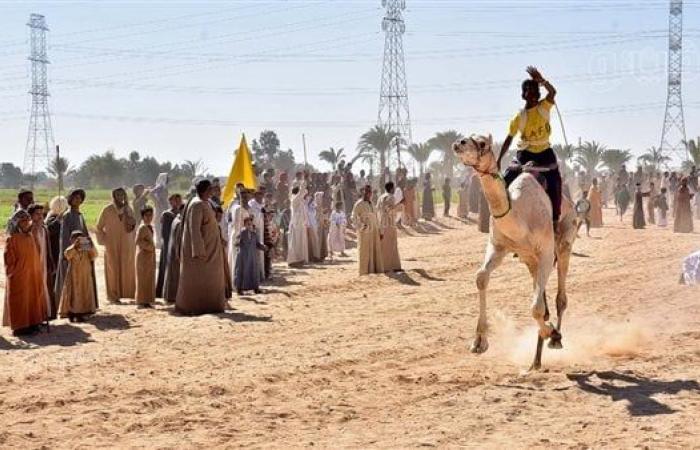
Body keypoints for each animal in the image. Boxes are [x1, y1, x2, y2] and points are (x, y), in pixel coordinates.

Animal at [452, 134, 576, 370]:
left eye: (482, 143)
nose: (459, 142)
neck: (518, 215)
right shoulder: (498, 246)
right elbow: (481, 277)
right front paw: (479, 342)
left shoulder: (546, 251)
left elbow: (535, 307)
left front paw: (551, 332)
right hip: (529, 259)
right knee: (542, 296)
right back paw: (536, 359)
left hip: (565, 240)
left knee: (560, 298)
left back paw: (554, 339)